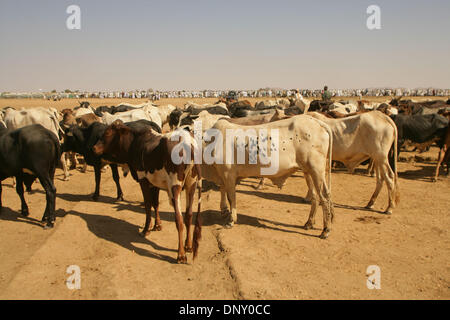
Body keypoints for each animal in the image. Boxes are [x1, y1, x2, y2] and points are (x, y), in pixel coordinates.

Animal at [93, 120, 202, 262]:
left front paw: (146, 229)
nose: (94, 148)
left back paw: (181, 254)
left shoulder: (143, 179)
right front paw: (157, 225)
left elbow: (147, 205)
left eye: (107, 133)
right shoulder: (154, 184)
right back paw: (188, 246)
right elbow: (155, 204)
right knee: (188, 215)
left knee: (179, 219)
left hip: (175, 186)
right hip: (191, 184)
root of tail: (189, 142)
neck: (135, 142)